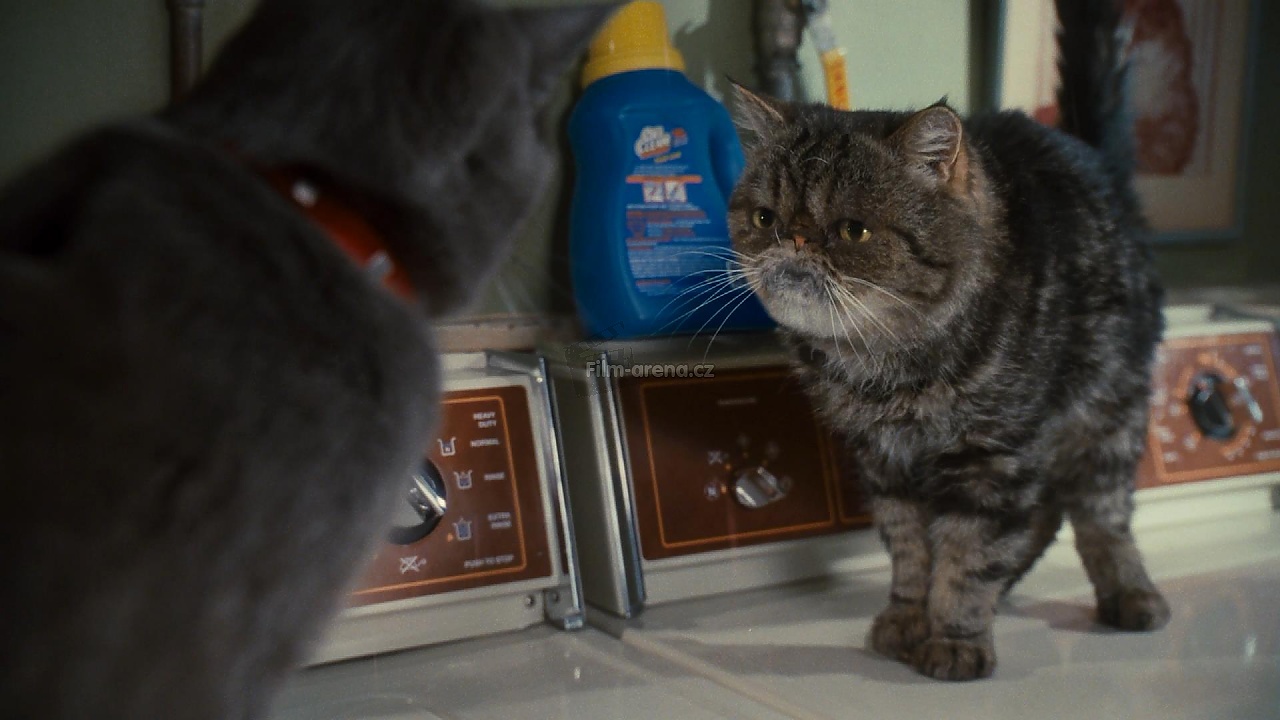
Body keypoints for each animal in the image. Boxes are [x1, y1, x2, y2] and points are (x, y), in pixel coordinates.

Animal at [727, 0, 1169, 681]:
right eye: (764, 218)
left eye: (852, 230)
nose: (793, 240)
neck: (889, 366)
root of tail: (1099, 160)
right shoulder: (884, 463)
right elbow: (910, 551)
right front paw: (911, 618)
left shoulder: (993, 456)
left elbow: (969, 554)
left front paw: (957, 635)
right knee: (1044, 515)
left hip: (1108, 419)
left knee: (1100, 516)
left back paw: (1130, 592)